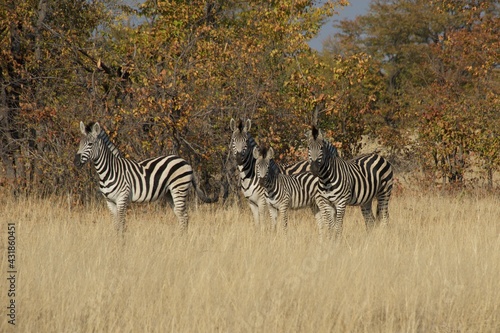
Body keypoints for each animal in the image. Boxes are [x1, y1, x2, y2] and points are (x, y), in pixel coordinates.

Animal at [74, 120, 217, 232]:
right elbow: (116, 226)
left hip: (179, 188)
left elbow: (122, 225)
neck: (109, 171)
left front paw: (121, 245)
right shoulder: (110, 202)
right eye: (79, 143)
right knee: (180, 216)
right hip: (169, 193)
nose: (75, 162)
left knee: (185, 216)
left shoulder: (122, 199)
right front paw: (116, 243)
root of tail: (185, 162)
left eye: (90, 144)